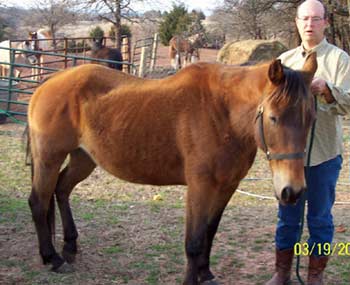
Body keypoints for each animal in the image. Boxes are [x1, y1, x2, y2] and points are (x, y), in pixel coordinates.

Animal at [27, 52, 318, 282]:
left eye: (311, 118)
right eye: (273, 118)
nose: (292, 191)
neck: (222, 113)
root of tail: (48, 82)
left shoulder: (227, 186)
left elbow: (209, 232)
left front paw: (205, 274)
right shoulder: (200, 187)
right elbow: (194, 241)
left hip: (83, 159)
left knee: (61, 190)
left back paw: (69, 248)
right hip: (48, 159)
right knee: (39, 201)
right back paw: (52, 257)